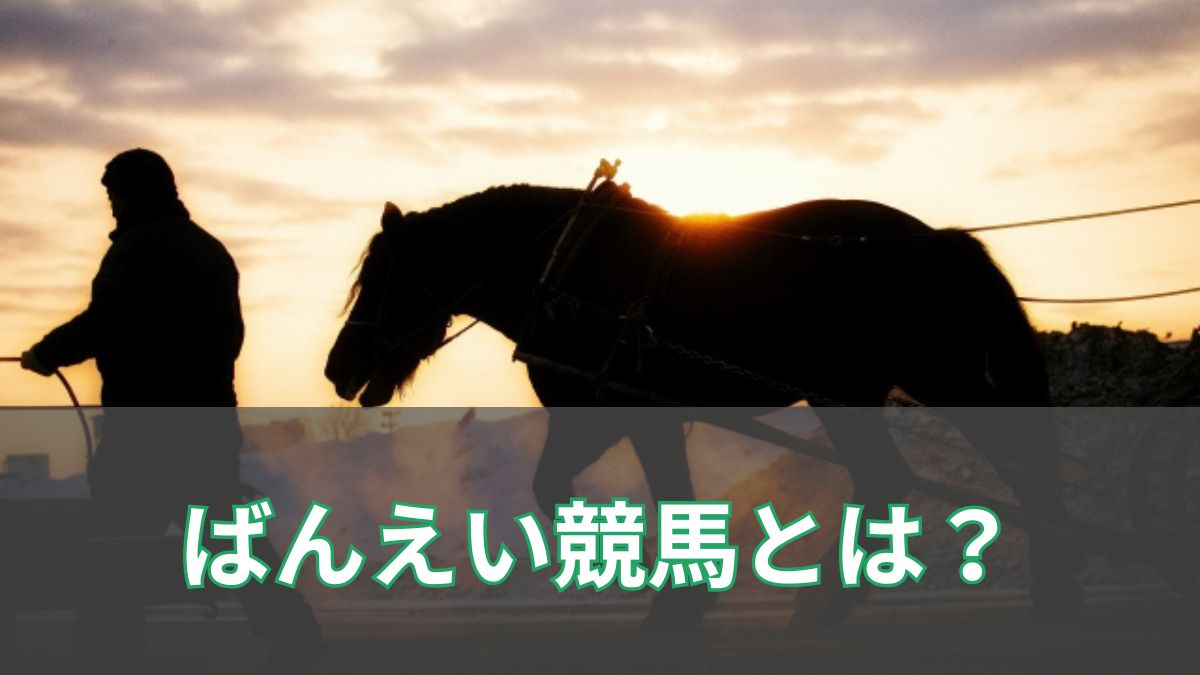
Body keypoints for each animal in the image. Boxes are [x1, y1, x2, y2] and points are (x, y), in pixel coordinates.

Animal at [325, 181, 1084, 626]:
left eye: (380, 278)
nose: (338, 368)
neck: (566, 267)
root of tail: (940, 241)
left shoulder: (620, 410)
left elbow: (605, 490)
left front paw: (662, 585)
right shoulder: (615, 414)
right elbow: (595, 489)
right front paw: (670, 582)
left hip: (900, 385)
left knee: (962, 471)